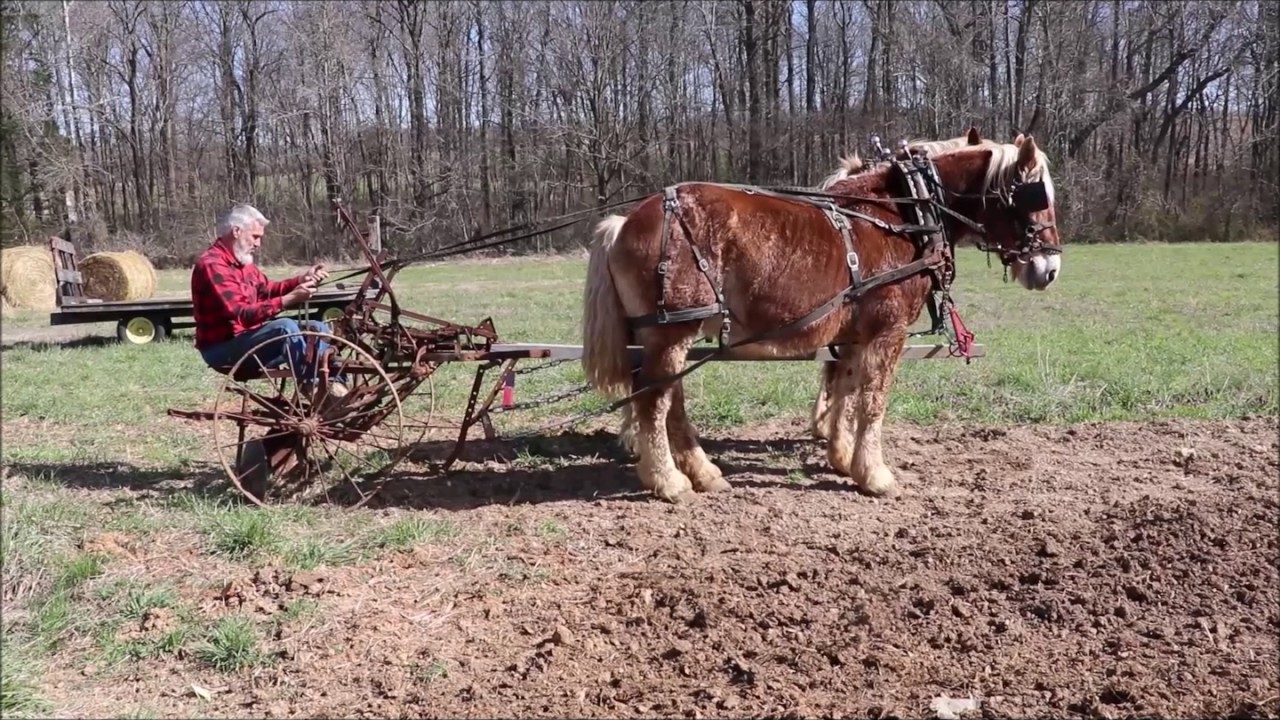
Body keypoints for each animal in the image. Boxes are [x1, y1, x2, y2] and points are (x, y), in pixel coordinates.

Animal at [582, 127, 1062, 502]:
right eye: (1036, 196)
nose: (1050, 270)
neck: (906, 213)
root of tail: (625, 222)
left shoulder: (852, 335)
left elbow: (845, 389)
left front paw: (842, 457)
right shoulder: (888, 332)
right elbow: (874, 401)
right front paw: (876, 475)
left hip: (667, 334)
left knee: (669, 399)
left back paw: (703, 472)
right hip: (672, 330)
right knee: (654, 400)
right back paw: (668, 481)